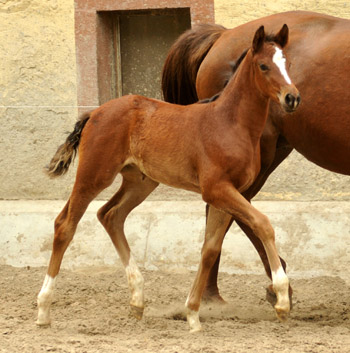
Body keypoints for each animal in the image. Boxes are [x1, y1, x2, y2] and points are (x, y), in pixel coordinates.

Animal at [36, 26, 300, 332]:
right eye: (264, 65)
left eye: (288, 63)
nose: (292, 98)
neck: (230, 123)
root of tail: (94, 113)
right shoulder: (216, 189)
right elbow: (263, 224)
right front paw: (282, 300)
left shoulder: (229, 193)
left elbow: (210, 248)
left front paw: (193, 315)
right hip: (94, 174)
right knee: (65, 225)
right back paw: (43, 310)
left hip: (140, 181)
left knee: (110, 215)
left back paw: (137, 300)